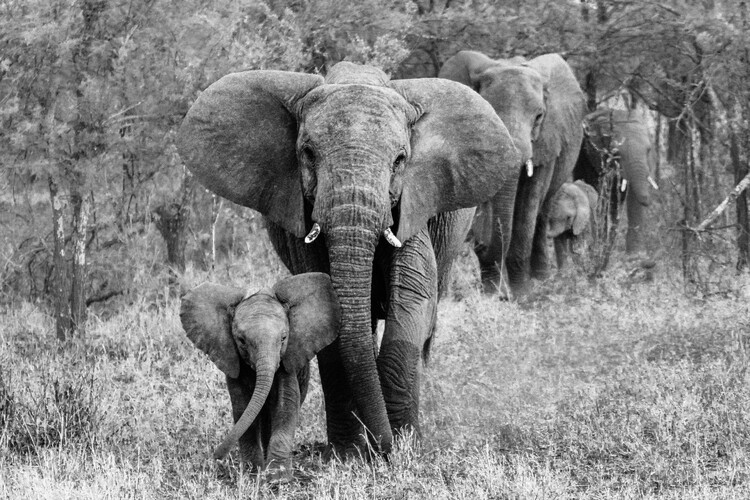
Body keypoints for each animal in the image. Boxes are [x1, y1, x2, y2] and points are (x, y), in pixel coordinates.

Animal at [176, 61, 524, 458]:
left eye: (400, 160)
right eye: (308, 153)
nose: (384, 448)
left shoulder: (413, 203)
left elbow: (411, 298)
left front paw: (402, 447)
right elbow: (328, 311)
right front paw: (350, 454)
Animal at [181, 274, 340, 480]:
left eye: (283, 338)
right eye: (241, 341)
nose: (216, 457)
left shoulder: (286, 361)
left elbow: (285, 404)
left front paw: (278, 479)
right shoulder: (234, 362)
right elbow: (242, 407)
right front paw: (252, 474)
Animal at [438, 49, 592, 296]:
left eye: (539, 116)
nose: (479, 245)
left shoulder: (547, 139)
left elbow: (529, 204)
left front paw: (522, 294)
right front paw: (493, 293)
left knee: (542, 213)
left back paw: (541, 280)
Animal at [576, 108, 656, 254]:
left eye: (648, 150)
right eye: (616, 153)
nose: (649, 202)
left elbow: (633, 199)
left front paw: (637, 255)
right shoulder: (593, 156)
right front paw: (599, 246)